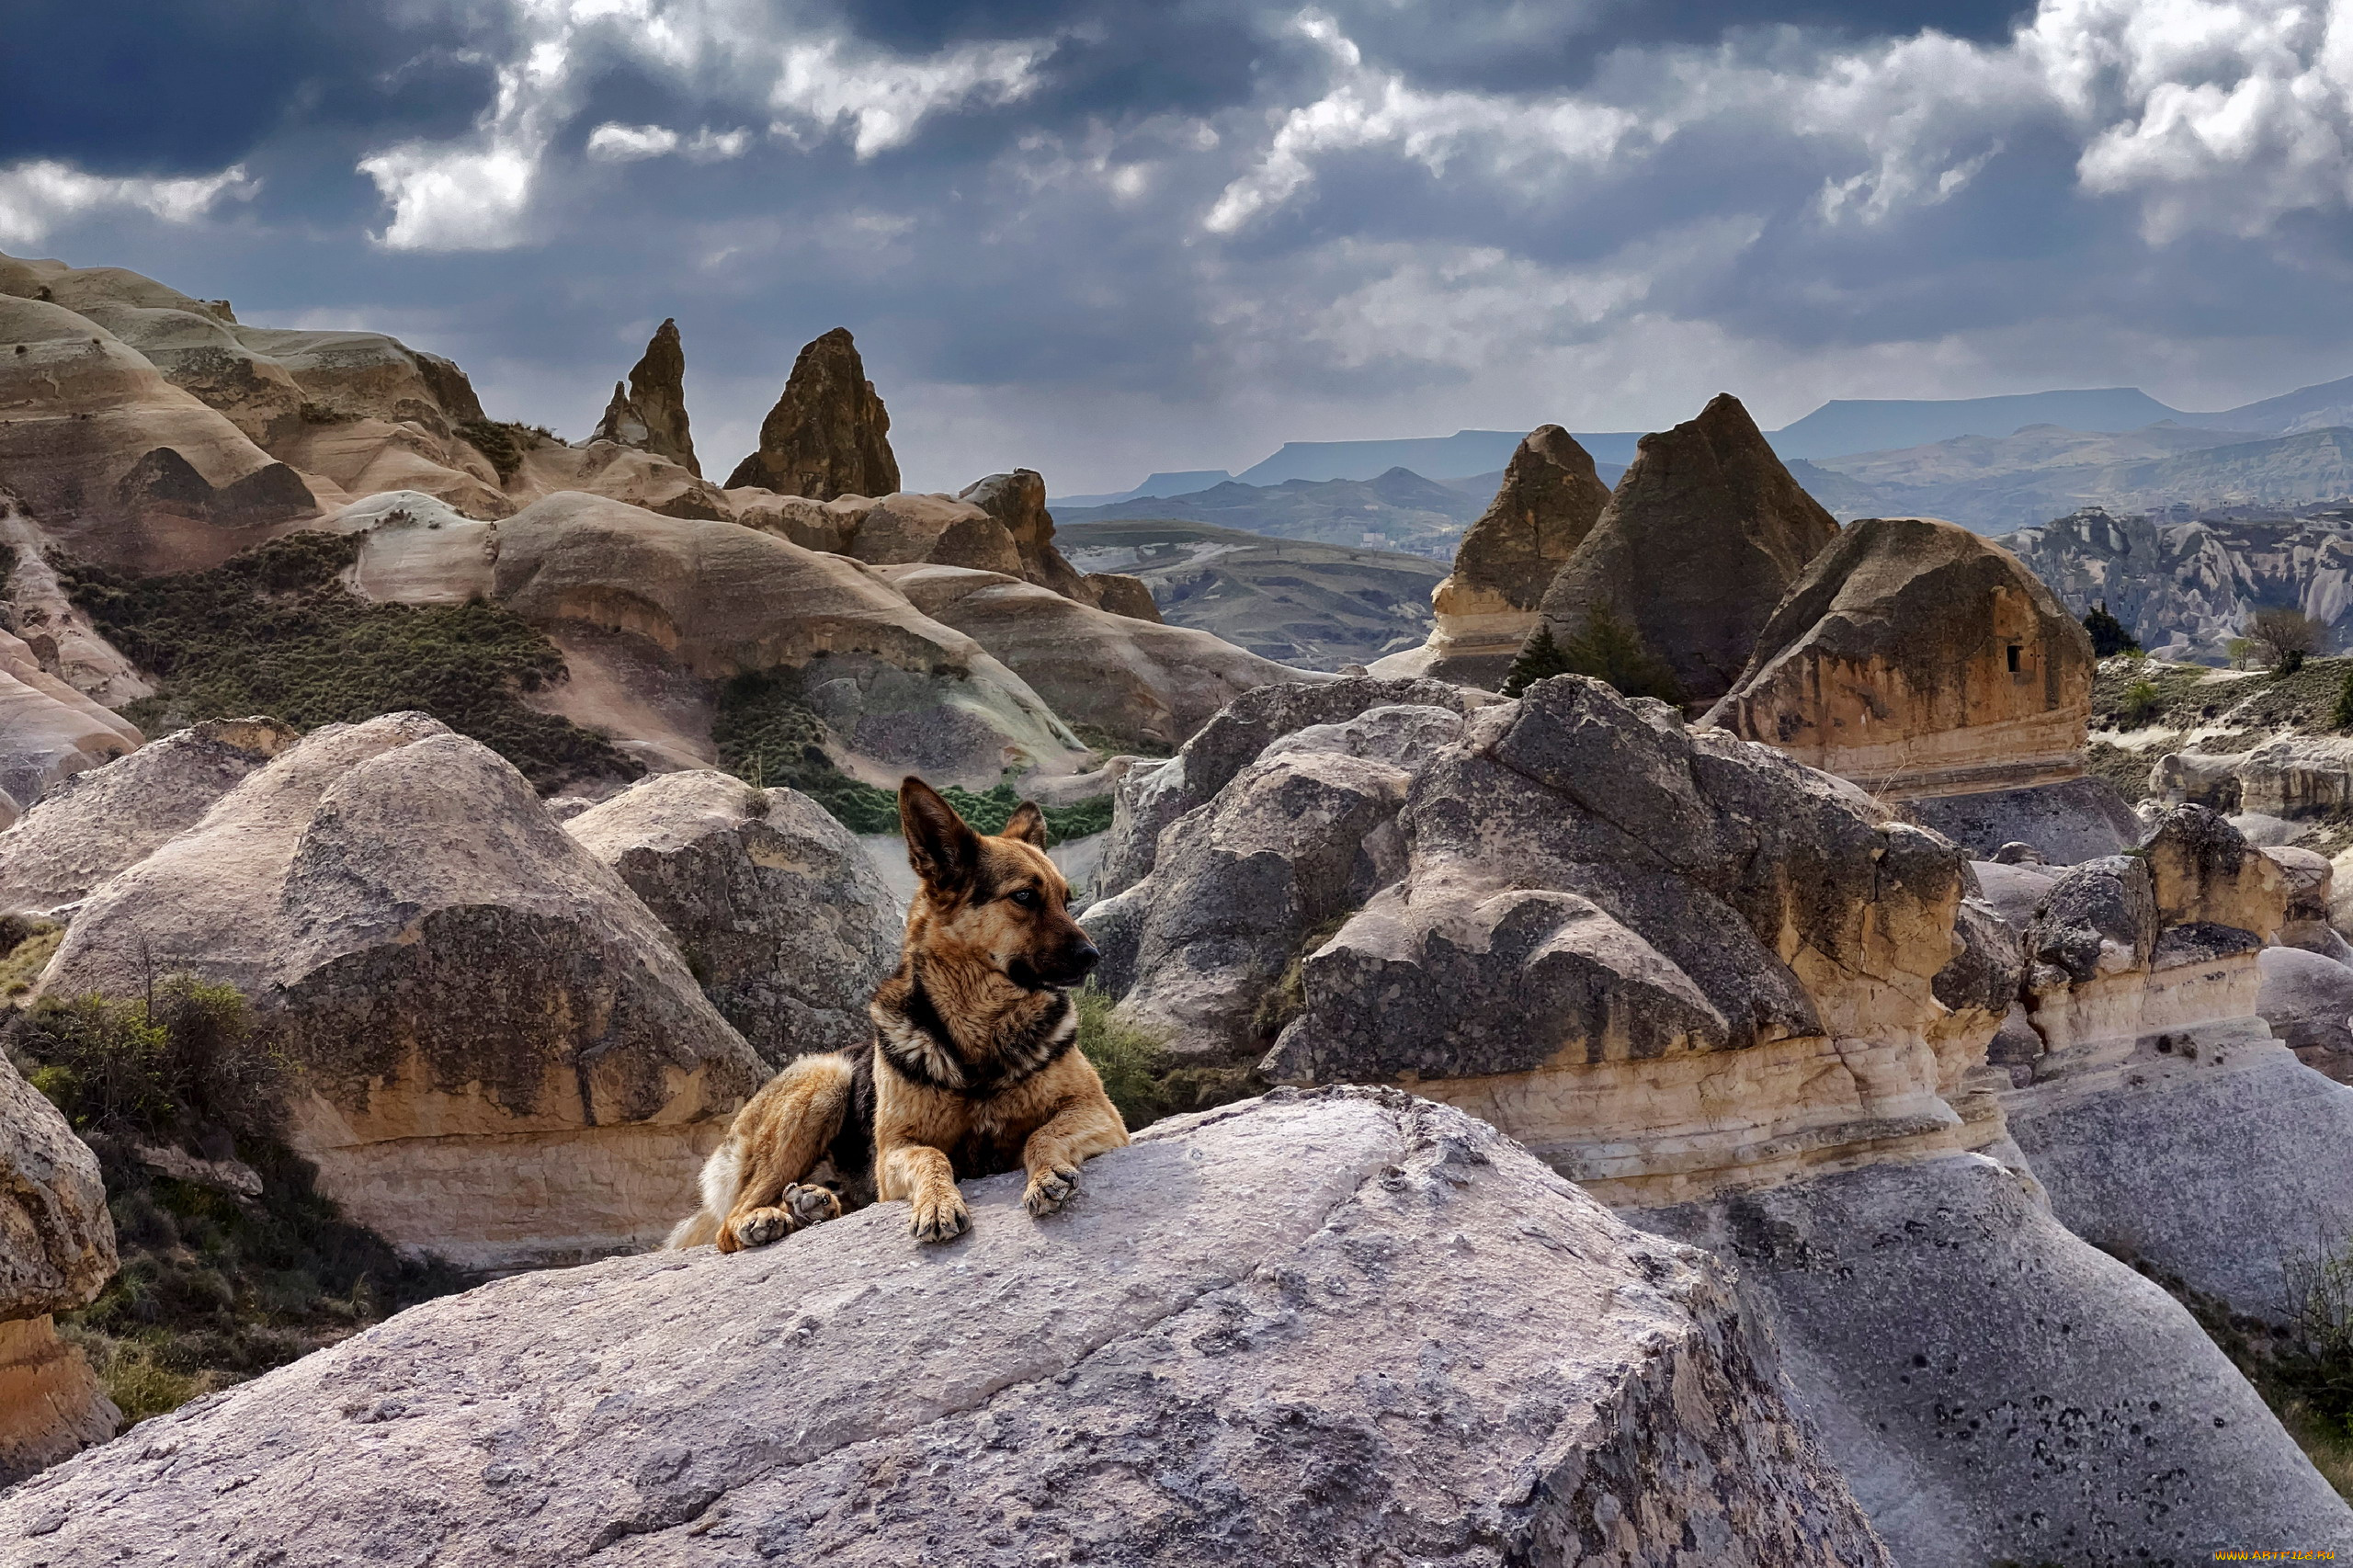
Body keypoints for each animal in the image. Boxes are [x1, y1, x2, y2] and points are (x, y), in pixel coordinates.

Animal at [668, 772, 1133, 1243]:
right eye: (1023, 897)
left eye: (1066, 900)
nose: (1094, 956)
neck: (980, 1036)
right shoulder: (896, 1149)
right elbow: (932, 1156)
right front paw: (938, 1203)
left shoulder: (1100, 1113)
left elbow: (1042, 1132)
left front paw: (1047, 1173)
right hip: (825, 1082)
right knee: (729, 1225)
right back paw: (767, 1218)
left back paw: (812, 1204)